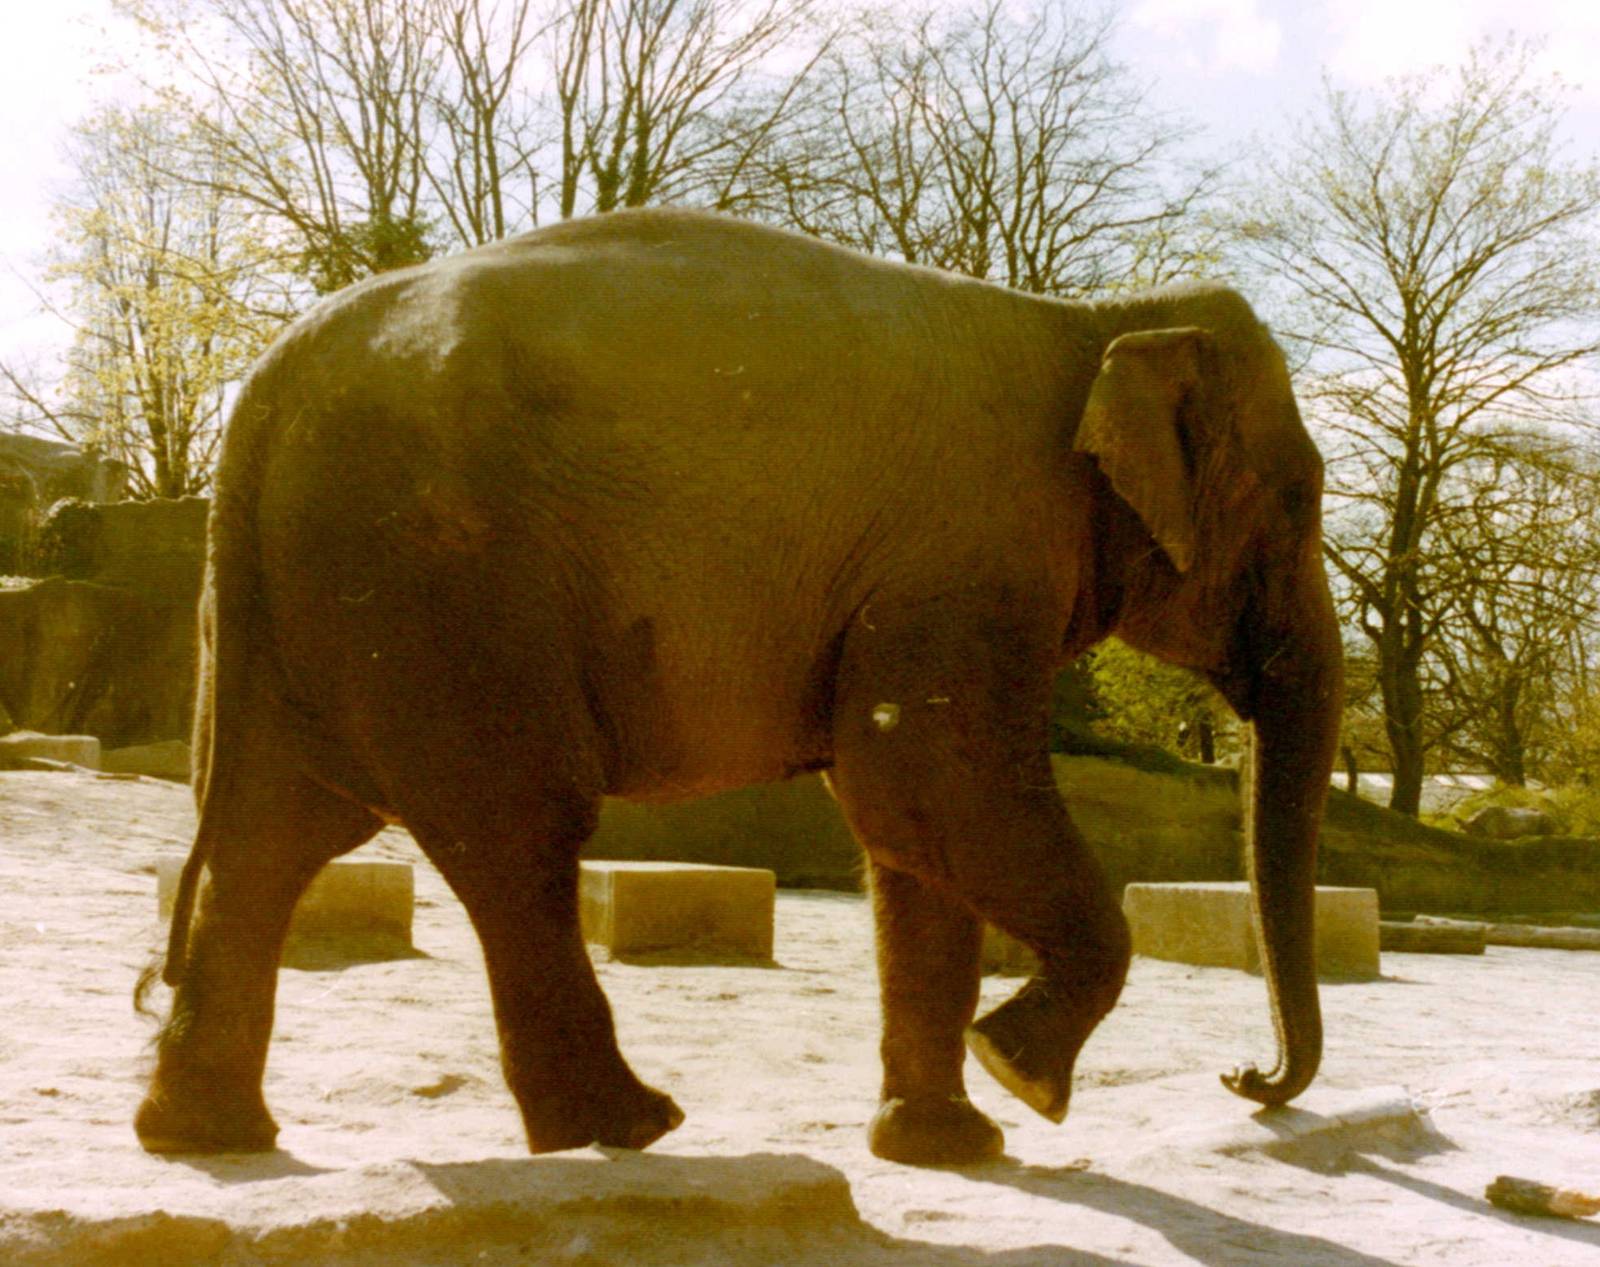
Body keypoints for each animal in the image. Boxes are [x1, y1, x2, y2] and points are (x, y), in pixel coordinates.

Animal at [135, 207, 1342, 1168]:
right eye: (1295, 501)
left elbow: (909, 831)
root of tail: (264, 391)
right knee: (514, 833)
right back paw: (630, 1125)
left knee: (268, 836)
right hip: (439, 579)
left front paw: (947, 1144)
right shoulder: (967, 552)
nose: (1243, 1077)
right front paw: (1021, 1077)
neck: (1099, 319)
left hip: (306, 602)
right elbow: (926, 782)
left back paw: (206, 1136)